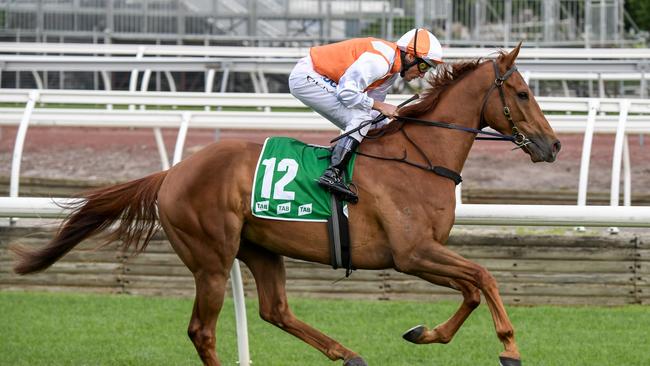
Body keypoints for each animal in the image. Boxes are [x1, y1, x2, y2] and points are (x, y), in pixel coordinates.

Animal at [11, 43, 556, 366]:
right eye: (523, 94)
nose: (552, 146)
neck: (420, 158)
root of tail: (172, 172)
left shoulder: (423, 254)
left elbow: (472, 289)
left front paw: (423, 333)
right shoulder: (412, 253)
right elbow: (484, 277)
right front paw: (510, 347)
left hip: (259, 248)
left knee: (275, 310)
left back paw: (348, 353)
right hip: (211, 258)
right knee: (202, 330)